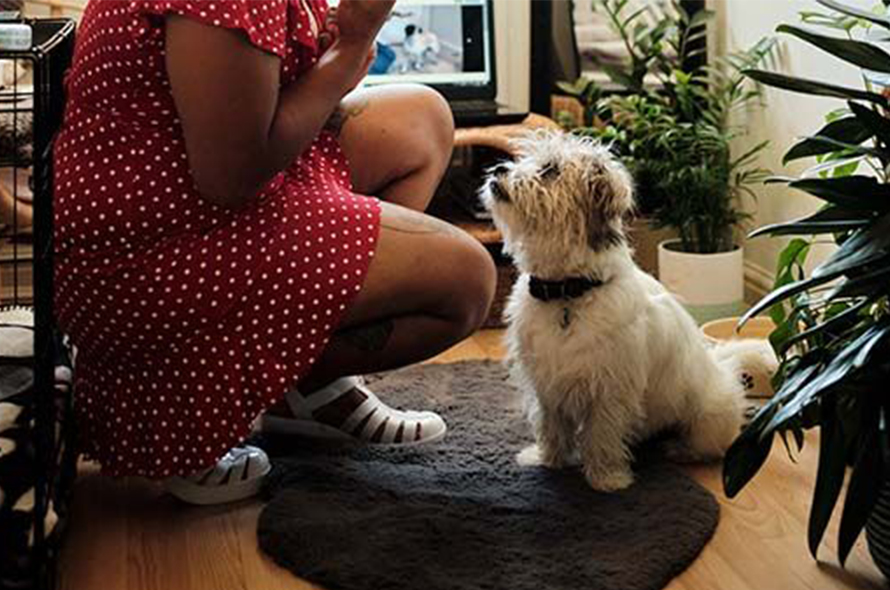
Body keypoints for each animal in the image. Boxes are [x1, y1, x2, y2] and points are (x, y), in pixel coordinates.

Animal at [478, 133, 772, 494]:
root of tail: (720, 365)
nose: (499, 168)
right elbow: (550, 425)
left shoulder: (610, 389)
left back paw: (677, 448)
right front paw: (548, 460)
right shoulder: (545, 382)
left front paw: (607, 479)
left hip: (707, 419)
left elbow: (601, 436)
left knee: (706, 447)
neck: (568, 292)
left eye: (550, 170)